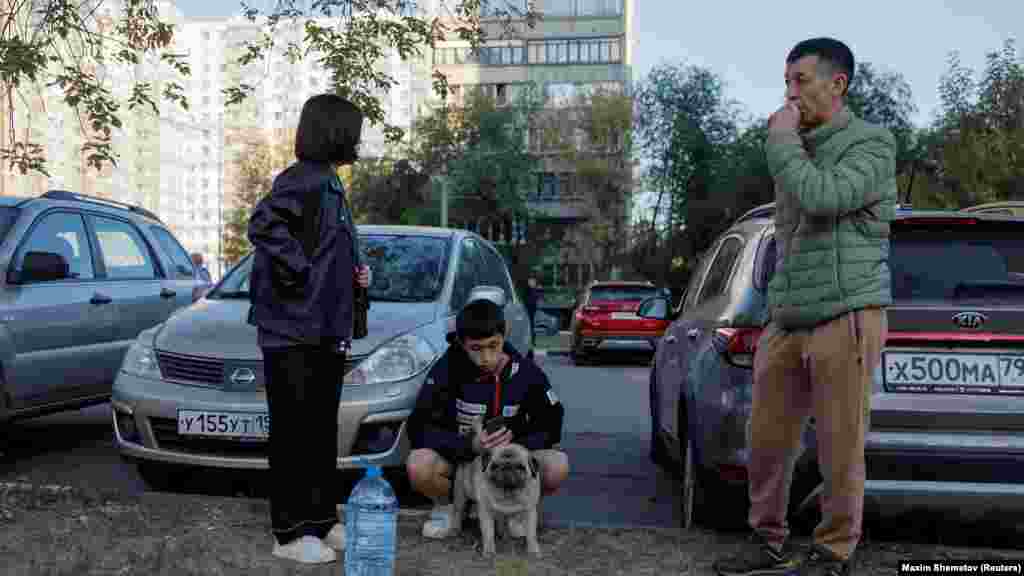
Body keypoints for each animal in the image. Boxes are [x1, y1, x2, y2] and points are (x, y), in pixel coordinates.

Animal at [450, 414, 540, 553]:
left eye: (520, 467)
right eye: (495, 466)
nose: (507, 468)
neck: (507, 492)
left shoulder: (530, 512)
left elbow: (531, 534)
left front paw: (533, 550)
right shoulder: (486, 512)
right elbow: (488, 533)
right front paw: (489, 550)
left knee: (502, 522)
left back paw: (504, 535)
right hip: (461, 495)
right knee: (457, 511)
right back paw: (455, 530)